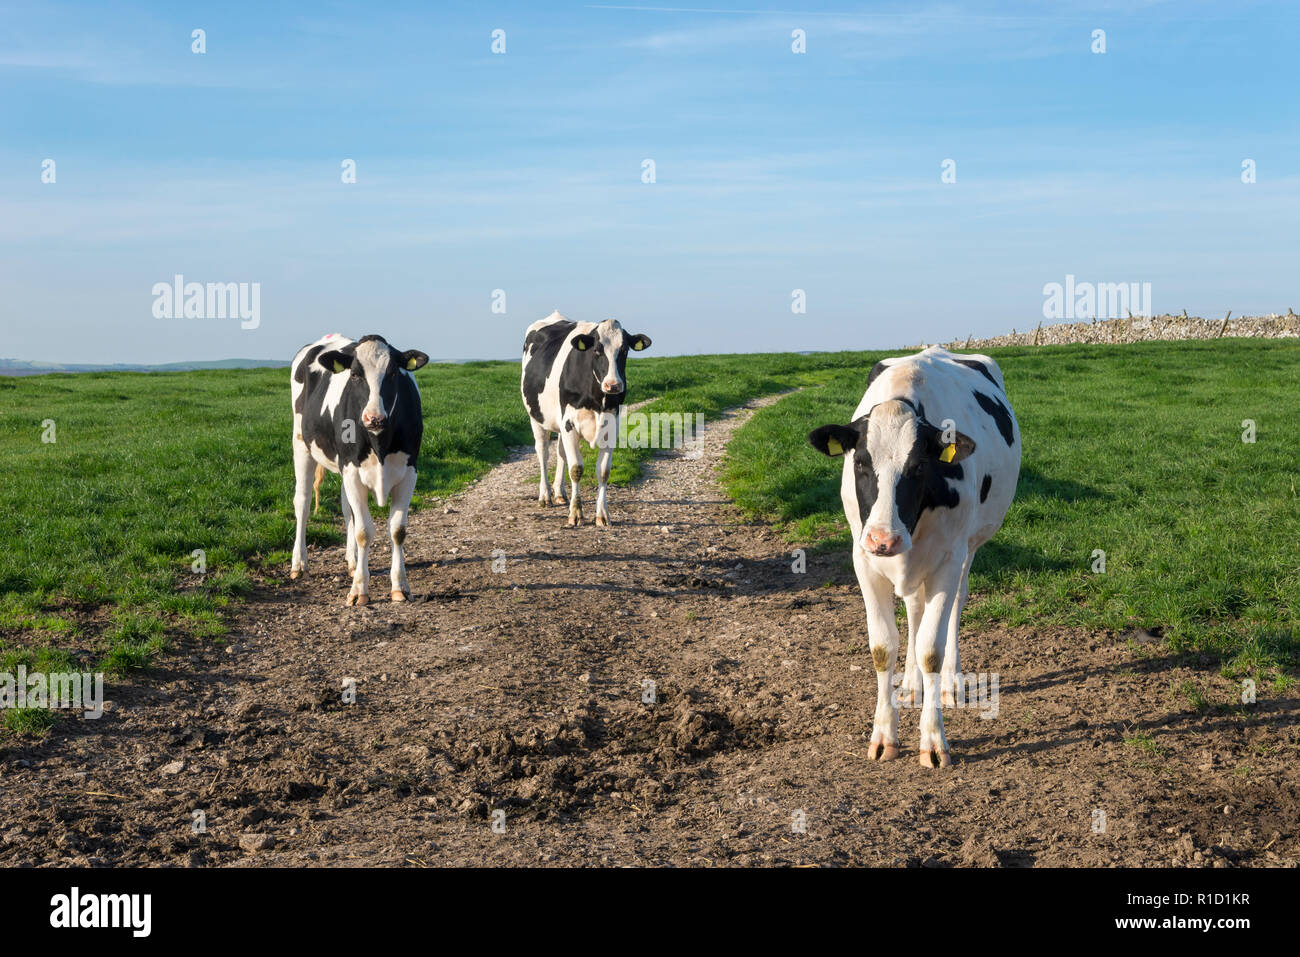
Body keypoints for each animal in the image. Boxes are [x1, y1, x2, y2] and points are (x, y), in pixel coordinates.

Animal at [288, 335, 426, 605]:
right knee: (303, 503)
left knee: (346, 508)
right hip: (301, 444)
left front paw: (400, 587)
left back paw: (352, 561)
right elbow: (364, 532)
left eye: (393, 373)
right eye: (354, 374)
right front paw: (359, 591)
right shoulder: (352, 469)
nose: (374, 418)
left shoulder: (409, 472)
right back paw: (299, 564)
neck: (380, 442)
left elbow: (398, 530)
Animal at [517, 312, 650, 522]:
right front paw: (576, 514)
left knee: (560, 453)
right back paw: (545, 496)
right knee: (543, 452)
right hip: (536, 416)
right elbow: (576, 469)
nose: (613, 385)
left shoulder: (611, 426)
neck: (597, 400)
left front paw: (602, 514)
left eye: (624, 350)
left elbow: (603, 471)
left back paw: (560, 493)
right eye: (596, 350)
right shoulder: (569, 423)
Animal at [806, 348, 1019, 764]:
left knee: (955, 604)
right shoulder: (863, 559)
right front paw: (883, 735)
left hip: (969, 547)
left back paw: (951, 683)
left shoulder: (949, 556)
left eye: (919, 466)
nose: (883, 539)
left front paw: (933, 741)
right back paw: (909, 685)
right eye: (860, 463)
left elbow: (931, 649)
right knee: (915, 608)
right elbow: (882, 646)